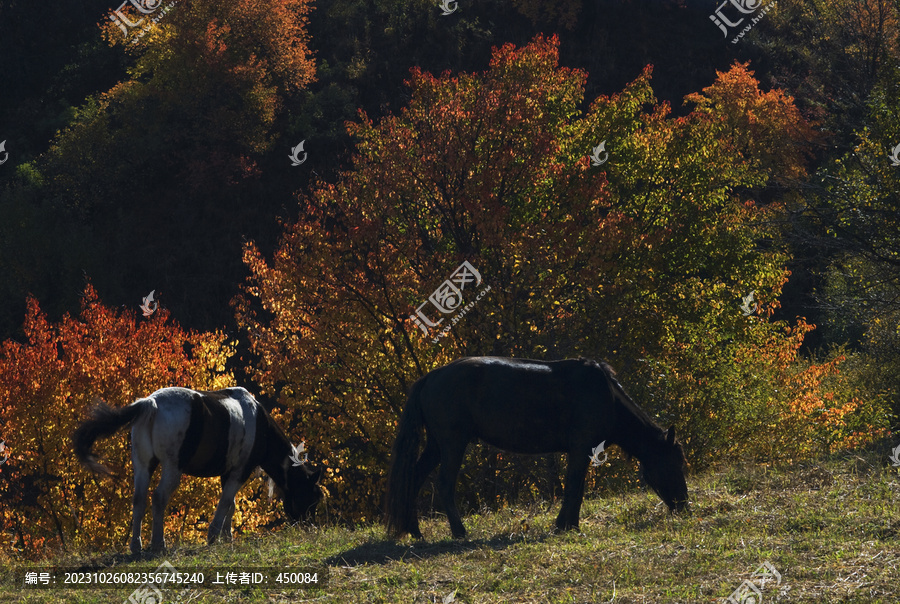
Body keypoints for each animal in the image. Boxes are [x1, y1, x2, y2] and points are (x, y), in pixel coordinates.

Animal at [74, 386, 324, 552]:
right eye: (312, 496)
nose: (310, 527)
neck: (258, 422)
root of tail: (151, 402)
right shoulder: (238, 472)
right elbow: (226, 502)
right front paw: (214, 536)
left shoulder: (227, 473)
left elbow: (231, 505)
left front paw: (227, 536)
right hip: (172, 468)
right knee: (159, 498)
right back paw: (158, 544)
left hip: (143, 465)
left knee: (139, 499)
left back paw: (136, 546)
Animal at [384, 356, 688, 540]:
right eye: (675, 464)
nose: (684, 506)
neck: (607, 397)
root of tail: (429, 378)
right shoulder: (581, 449)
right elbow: (573, 487)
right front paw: (564, 525)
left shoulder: (582, 452)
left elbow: (577, 489)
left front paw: (570, 524)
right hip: (452, 445)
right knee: (445, 484)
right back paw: (460, 533)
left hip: (437, 446)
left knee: (414, 478)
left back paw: (415, 532)